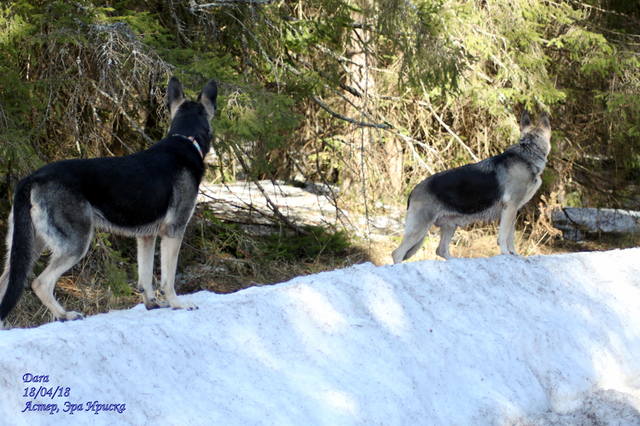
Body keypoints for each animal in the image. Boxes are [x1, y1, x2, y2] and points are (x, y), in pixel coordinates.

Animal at [0, 77, 216, 326]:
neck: (187, 140)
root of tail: (32, 178)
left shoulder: (146, 237)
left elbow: (145, 276)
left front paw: (152, 304)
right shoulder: (173, 231)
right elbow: (168, 279)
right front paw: (177, 303)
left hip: (29, 246)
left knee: (6, 282)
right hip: (75, 243)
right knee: (40, 283)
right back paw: (65, 315)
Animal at [392, 111, 552, 262]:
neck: (528, 150)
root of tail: (413, 190)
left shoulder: (513, 211)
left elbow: (510, 236)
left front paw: (514, 254)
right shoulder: (510, 208)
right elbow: (503, 236)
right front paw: (506, 254)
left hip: (450, 225)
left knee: (441, 250)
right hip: (420, 228)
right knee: (398, 253)